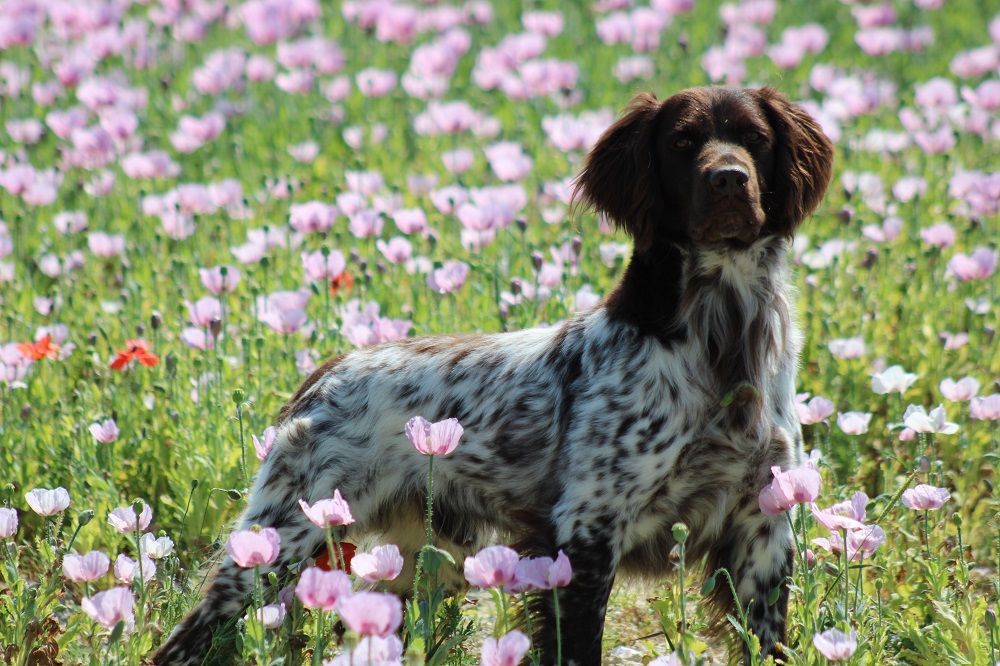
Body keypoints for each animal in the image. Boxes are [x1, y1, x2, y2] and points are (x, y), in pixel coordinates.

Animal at [152, 85, 832, 660]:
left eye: (756, 139)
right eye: (683, 142)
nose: (729, 179)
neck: (723, 339)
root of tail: (325, 373)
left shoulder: (762, 532)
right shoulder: (585, 533)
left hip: (420, 561)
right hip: (277, 545)